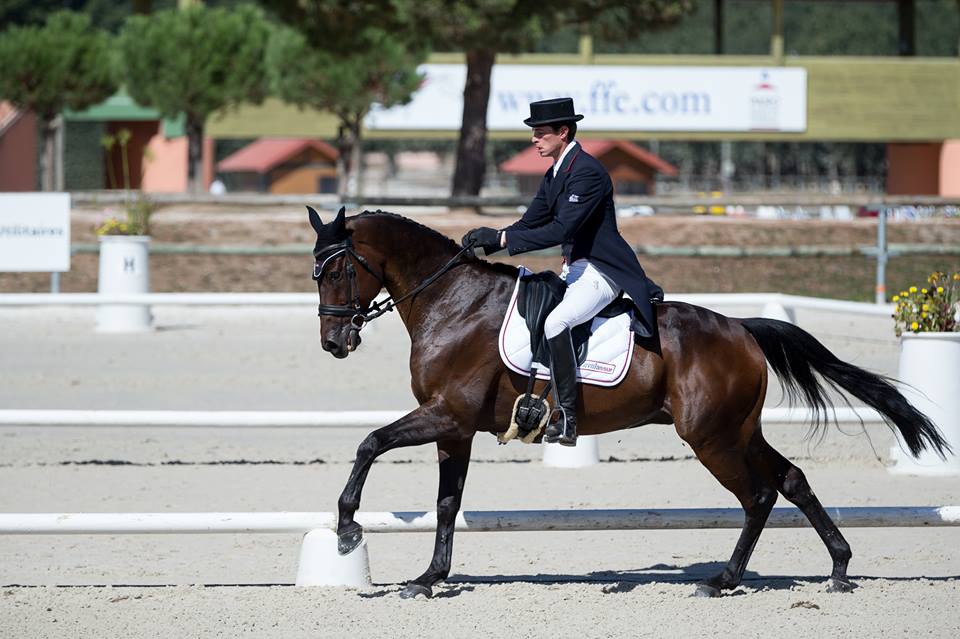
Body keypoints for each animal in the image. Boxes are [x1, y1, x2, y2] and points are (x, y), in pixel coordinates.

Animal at [308, 206, 944, 600]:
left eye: (336, 271)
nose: (334, 343)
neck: (452, 301)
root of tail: (740, 327)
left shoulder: (447, 414)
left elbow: (369, 443)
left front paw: (346, 529)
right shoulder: (454, 429)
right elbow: (445, 504)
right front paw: (429, 577)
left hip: (711, 437)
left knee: (759, 494)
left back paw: (723, 580)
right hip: (738, 430)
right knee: (790, 479)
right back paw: (838, 566)